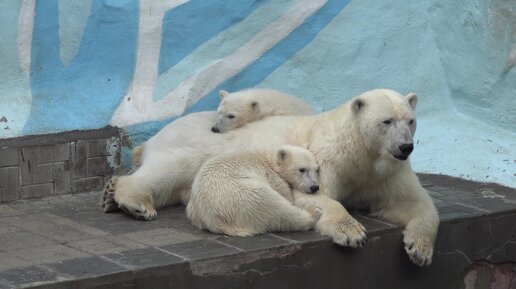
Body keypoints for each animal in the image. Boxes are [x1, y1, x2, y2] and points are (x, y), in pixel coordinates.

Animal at [102, 88, 440, 266]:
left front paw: (419, 249)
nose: (406, 146)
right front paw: (351, 232)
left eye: (410, 120)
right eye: (387, 121)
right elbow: (314, 194)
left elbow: (413, 203)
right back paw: (133, 201)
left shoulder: (385, 174)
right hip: (194, 146)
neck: (360, 155)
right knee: (168, 170)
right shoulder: (322, 159)